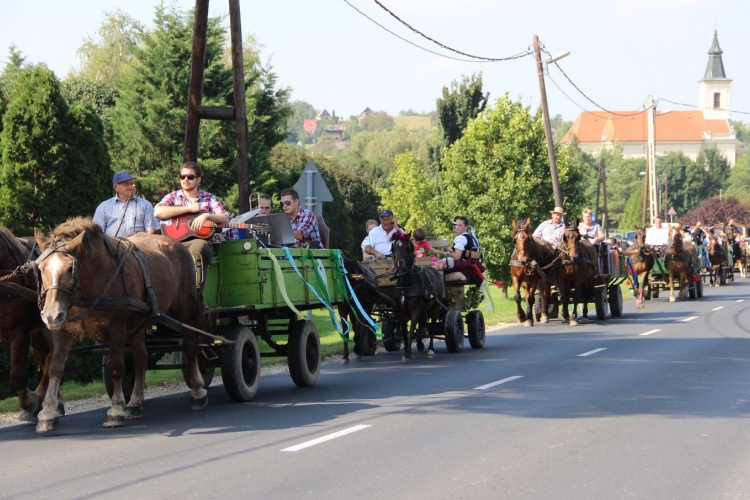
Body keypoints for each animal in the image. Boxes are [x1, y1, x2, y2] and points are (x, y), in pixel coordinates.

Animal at [34, 217, 206, 432]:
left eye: (69, 269)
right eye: (41, 269)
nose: (50, 316)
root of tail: (179, 246)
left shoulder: (117, 327)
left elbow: (117, 367)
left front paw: (116, 410)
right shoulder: (63, 331)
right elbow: (55, 368)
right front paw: (48, 413)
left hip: (186, 312)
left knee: (191, 348)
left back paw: (198, 392)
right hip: (139, 324)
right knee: (141, 358)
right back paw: (135, 403)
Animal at [390, 230, 444, 364]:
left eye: (407, 248)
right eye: (394, 248)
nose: (399, 263)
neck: (405, 283)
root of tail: (433, 269)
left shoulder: (415, 309)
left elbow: (410, 333)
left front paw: (407, 355)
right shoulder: (402, 312)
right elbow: (405, 333)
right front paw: (406, 352)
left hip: (435, 307)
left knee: (432, 327)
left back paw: (430, 350)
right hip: (424, 308)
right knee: (423, 322)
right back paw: (419, 343)